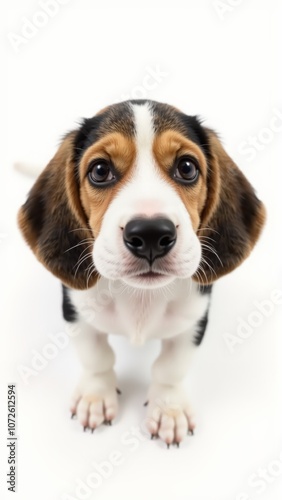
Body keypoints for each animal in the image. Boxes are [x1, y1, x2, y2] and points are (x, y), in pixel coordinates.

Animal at [18, 99, 266, 448]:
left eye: (187, 167)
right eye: (100, 170)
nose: (150, 234)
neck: (139, 296)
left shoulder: (193, 320)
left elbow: (170, 368)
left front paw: (169, 410)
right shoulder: (77, 312)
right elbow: (97, 357)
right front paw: (95, 397)